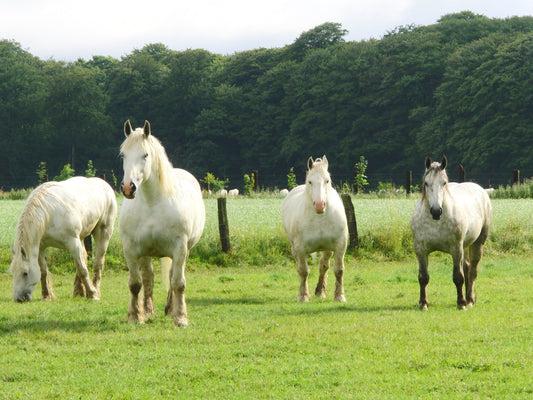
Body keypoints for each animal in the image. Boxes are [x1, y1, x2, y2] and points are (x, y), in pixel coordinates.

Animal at [120, 120, 206, 326]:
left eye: (145, 155)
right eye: (123, 154)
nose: (128, 187)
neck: (152, 203)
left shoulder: (180, 247)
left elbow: (178, 283)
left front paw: (180, 317)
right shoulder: (131, 249)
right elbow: (136, 283)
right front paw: (135, 316)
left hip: (184, 251)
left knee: (172, 276)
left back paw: (170, 308)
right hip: (145, 253)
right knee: (148, 277)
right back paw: (148, 310)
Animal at [280, 156, 348, 304]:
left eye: (327, 180)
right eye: (310, 182)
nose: (319, 205)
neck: (319, 219)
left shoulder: (340, 245)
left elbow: (339, 270)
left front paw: (340, 296)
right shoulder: (300, 249)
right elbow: (303, 271)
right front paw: (303, 296)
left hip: (327, 249)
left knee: (324, 266)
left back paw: (320, 292)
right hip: (294, 249)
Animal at [412, 155, 490, 310]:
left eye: (444, 183)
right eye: (426, 183)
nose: (436, 211)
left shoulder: (456, 250)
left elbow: (458, 277)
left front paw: (461, 303)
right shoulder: (421, 251)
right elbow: (423, 277)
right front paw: (423, 303)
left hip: (477, 243)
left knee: (472, 271)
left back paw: (469, 299)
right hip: (465, 246)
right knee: (467, 267)